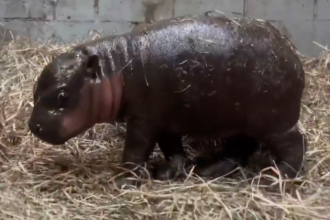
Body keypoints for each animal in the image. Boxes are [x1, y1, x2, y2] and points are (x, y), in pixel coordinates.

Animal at [27, 12, 306, 187]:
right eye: (35, 89)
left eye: (63, 95)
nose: (33, 126)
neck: (115, 68)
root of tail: (294, 57)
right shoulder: (165, 121)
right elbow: (172, 148)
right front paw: (169, 172)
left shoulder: (143, 120)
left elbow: (135, 150)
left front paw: (125, 181)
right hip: (243, 118)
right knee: (240, 147)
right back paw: (210, 169)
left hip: (273, 121)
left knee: (295, 144)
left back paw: (273, 179)